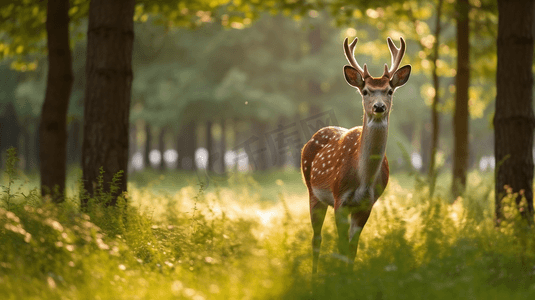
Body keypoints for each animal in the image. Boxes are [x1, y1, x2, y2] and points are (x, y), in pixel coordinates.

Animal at [302, 36, 410, 274]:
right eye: (366, 91)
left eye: (389, 90)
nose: (379, 107)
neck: (363, 180)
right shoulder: (340, 199)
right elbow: (342, 247)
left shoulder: (366, 205)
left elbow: (352, 250)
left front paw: (350, 278)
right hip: (313, 192)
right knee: (316, 239)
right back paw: (313, 277)